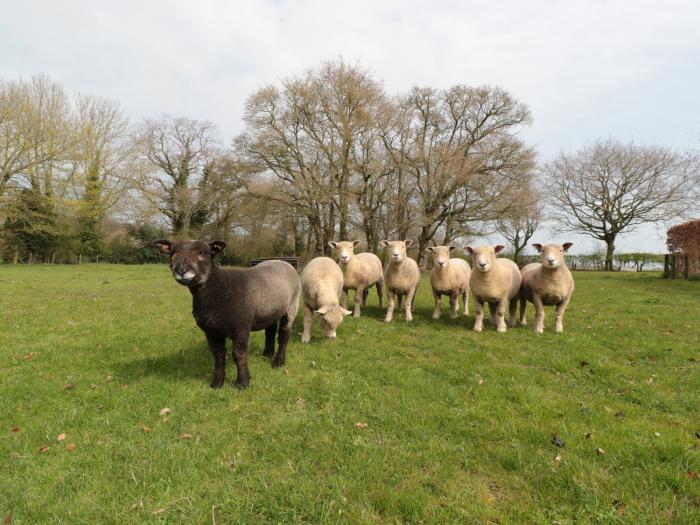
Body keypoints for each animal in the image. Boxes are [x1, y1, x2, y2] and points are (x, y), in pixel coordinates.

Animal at [154, 239, 300, 386]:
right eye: (173, 252)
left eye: (204, 252)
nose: (182, 270)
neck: (220, 288)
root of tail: (282, 261)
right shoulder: (211, 331)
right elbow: (218, 356)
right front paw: (217, 383)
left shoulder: (241, 327)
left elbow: (239, 355)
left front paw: (243, 382)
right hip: (271, 308)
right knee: (270, 330)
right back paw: (267, 354)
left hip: (292, 305)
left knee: (284, 334)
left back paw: (278, 362)